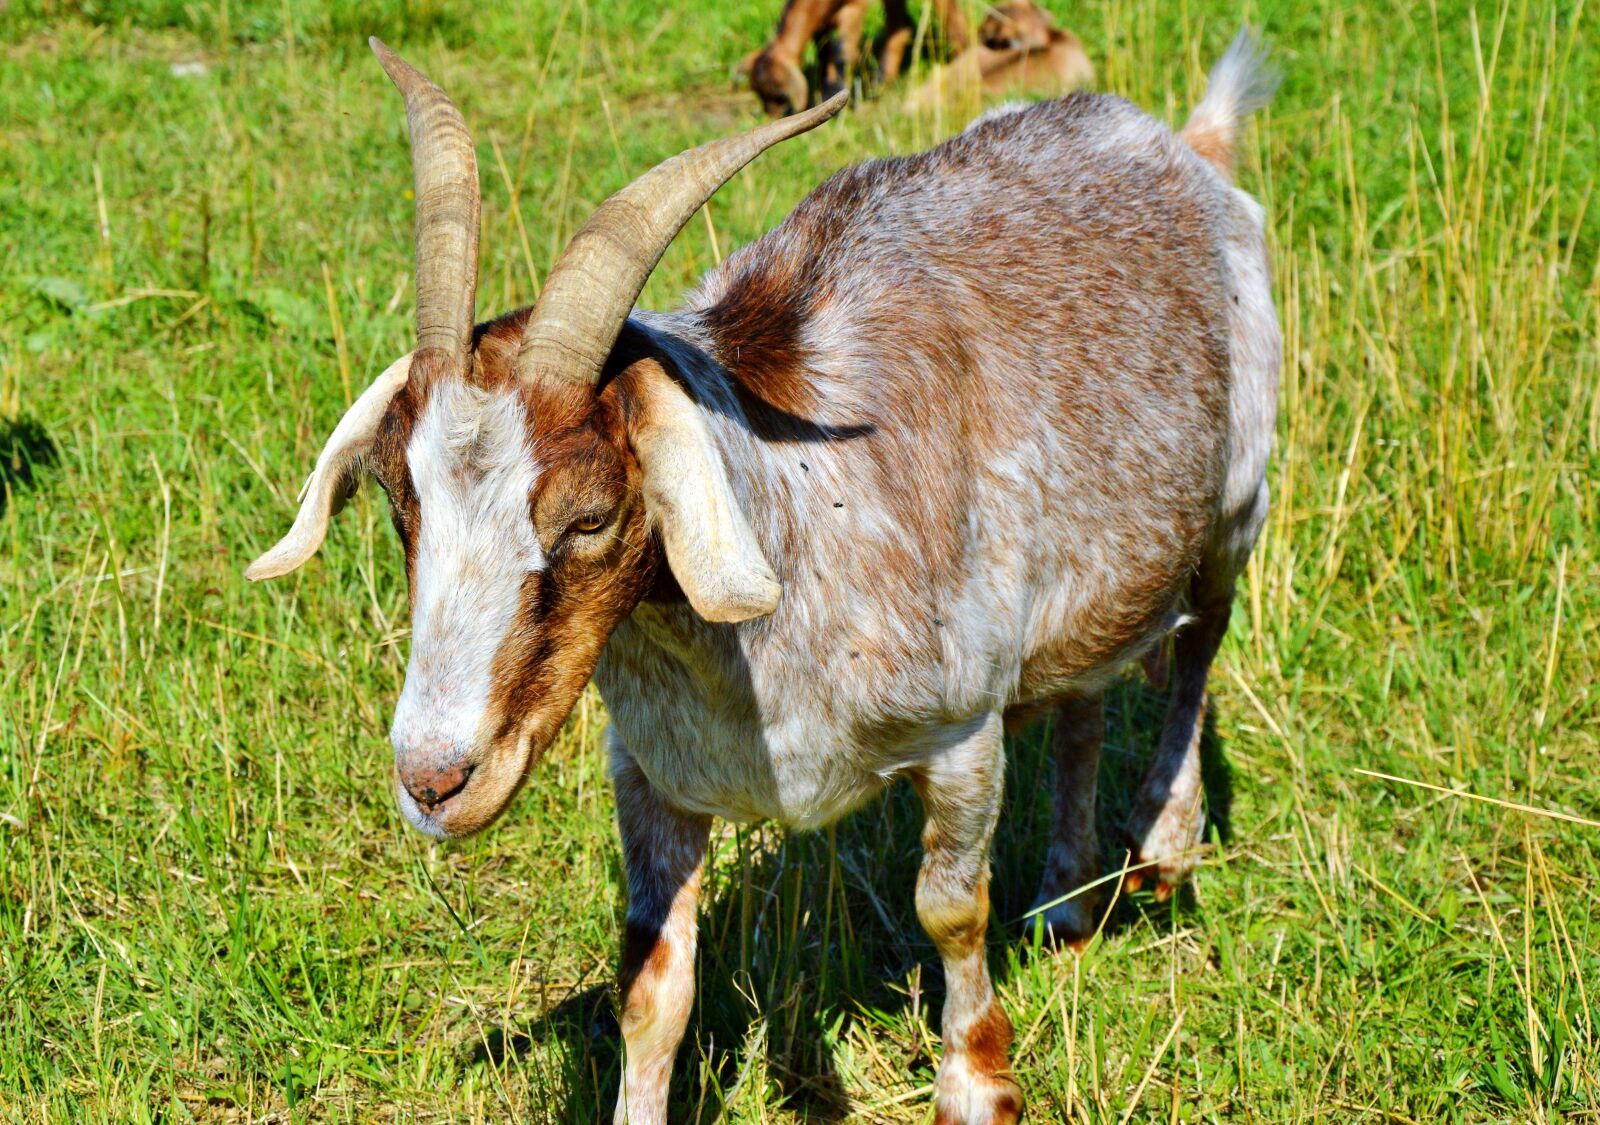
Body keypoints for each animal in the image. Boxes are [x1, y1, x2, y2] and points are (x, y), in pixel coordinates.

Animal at [248, 31, 1279, 1124]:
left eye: (590, 515)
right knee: (1087, 694)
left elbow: (950, 909)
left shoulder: (961, 730)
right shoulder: (652, 770)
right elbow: (652, 982)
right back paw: (1064, 903)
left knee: (1198, 647)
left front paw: (977, 1082)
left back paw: (1164, 844)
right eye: (398, 499)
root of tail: (1182, 142)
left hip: (1235, 501)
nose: (434, 780)